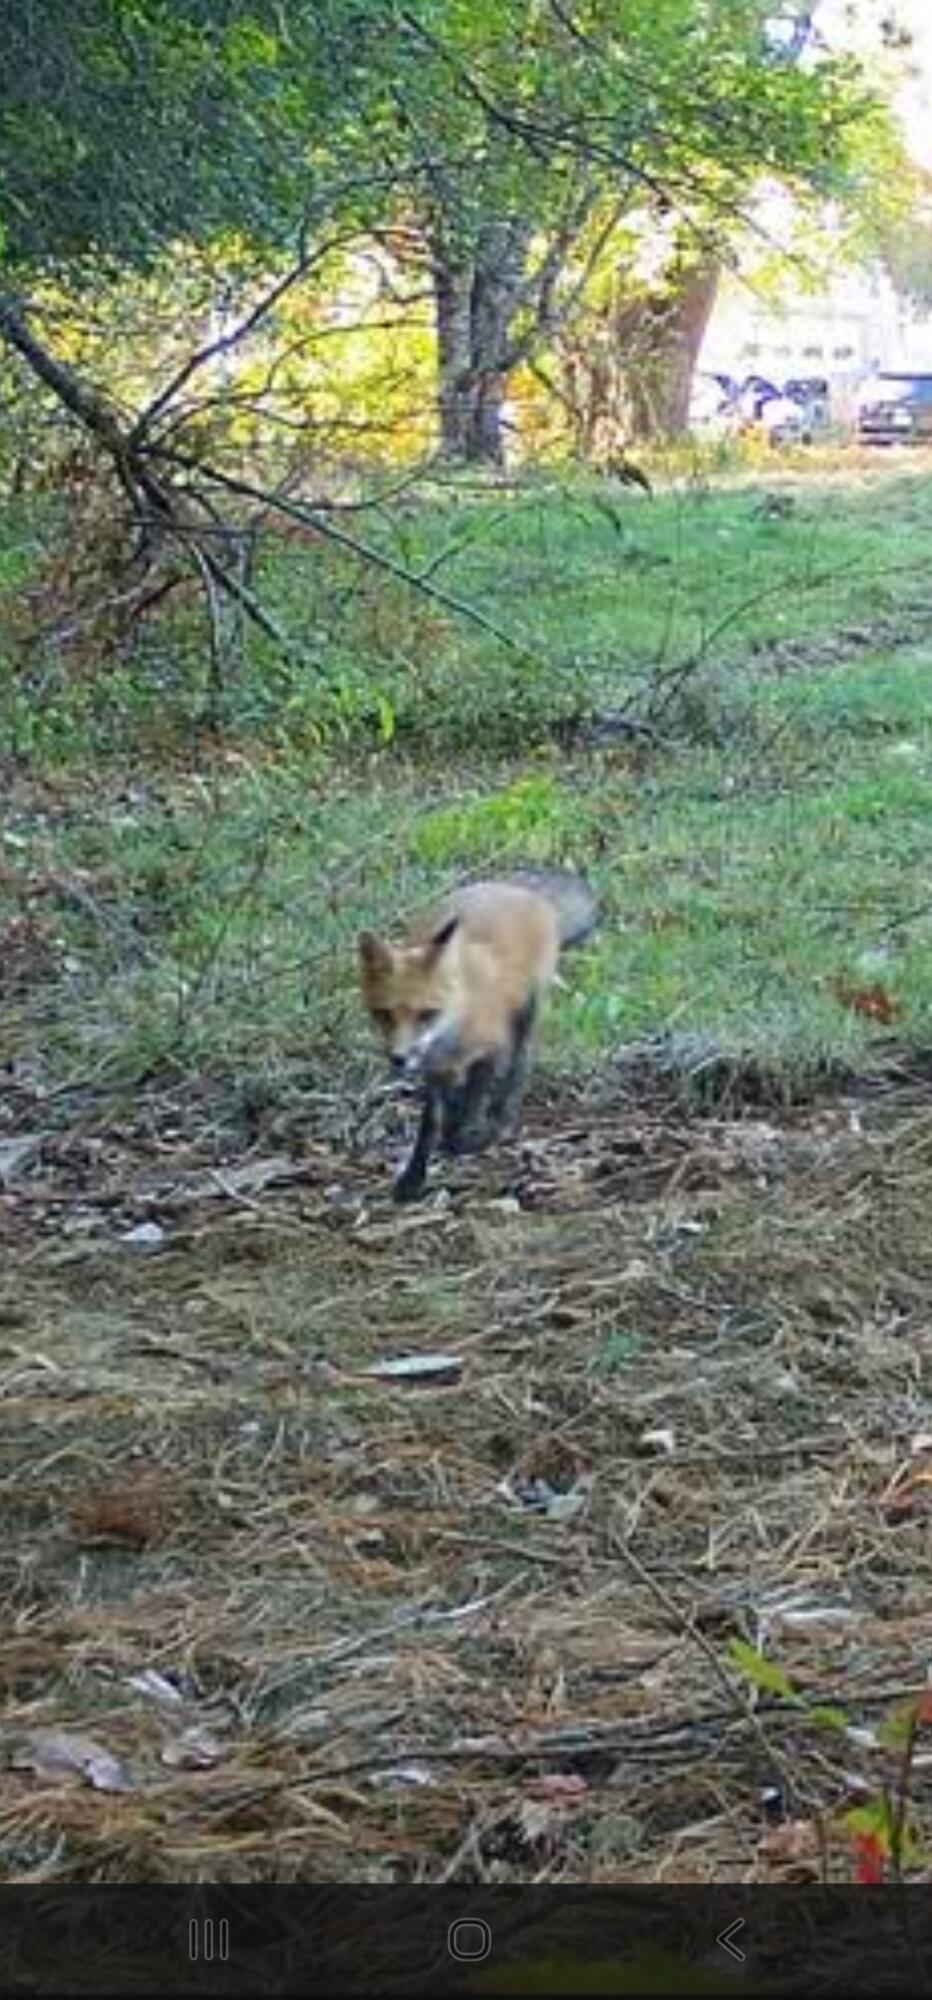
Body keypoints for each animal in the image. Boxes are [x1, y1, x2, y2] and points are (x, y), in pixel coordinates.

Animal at [358, 868, 598, 1202]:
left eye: (427, 1014)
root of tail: (519, 890)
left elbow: (470, 1107)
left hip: (527, 1013)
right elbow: (430, 1124)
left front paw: (470, 1140)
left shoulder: (491, 1050)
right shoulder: (434, 1070)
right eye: (383, 1014)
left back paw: (502, 1120)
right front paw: (413, 1177)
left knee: (520, 1066)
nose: (399, 1058)